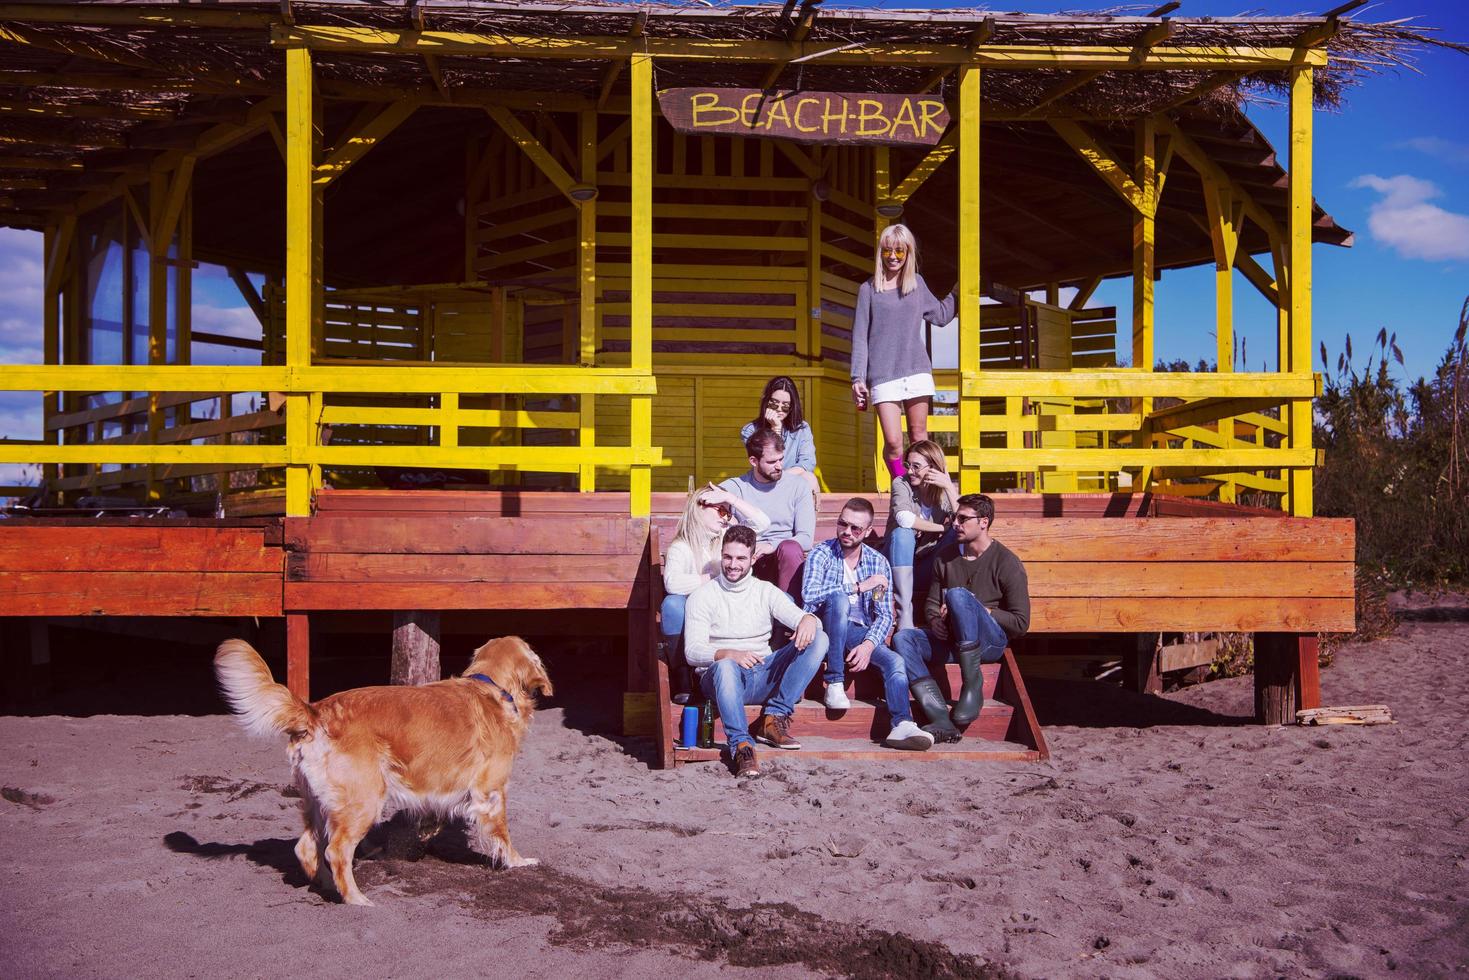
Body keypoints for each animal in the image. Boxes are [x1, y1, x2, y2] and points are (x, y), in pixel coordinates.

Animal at [210, 637, 549, 905]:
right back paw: (356, 900)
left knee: (307, 848)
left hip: (318, 803)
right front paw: (518, 862)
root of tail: (315, 712)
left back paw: (325, 885)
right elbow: (503, 836)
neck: (493, 687)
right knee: (336, 851)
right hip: (365, 801)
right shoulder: (491, 792)